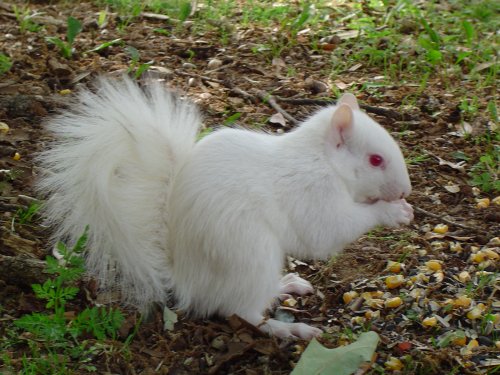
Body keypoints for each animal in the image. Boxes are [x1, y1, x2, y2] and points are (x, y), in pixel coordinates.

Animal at [38, 76, 414, 340]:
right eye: (375, 160)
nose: (406, 190)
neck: (322, 160)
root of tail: (186, 279)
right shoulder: (312, 193)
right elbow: (328, 233)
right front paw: (394, 211)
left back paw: (285, 286)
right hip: (250, 256)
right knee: (241, 312)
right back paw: (286, 329)